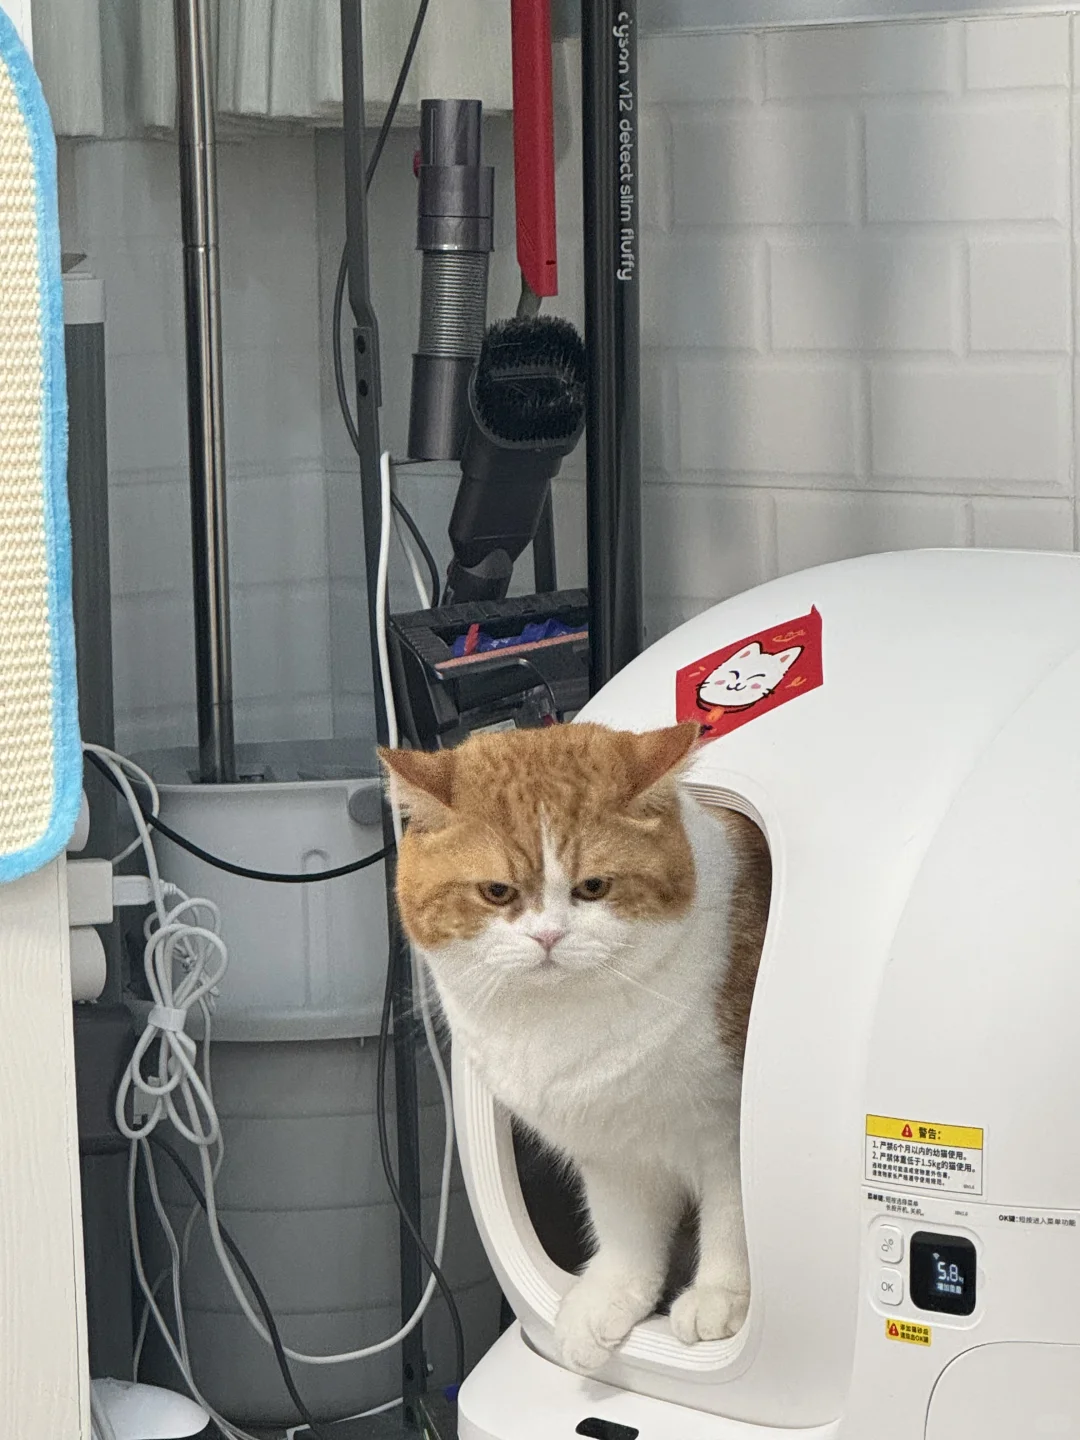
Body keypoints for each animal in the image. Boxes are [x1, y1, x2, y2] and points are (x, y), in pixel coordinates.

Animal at [380, 721, 770, 1376]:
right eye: (496, 891)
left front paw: (720, 1295)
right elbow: (626, 1227)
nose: (548, 936)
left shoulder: (728, 1128)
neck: (567, 1016)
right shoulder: (611, 1140)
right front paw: (611, 1296)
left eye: (593, 887)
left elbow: (734, 1215)